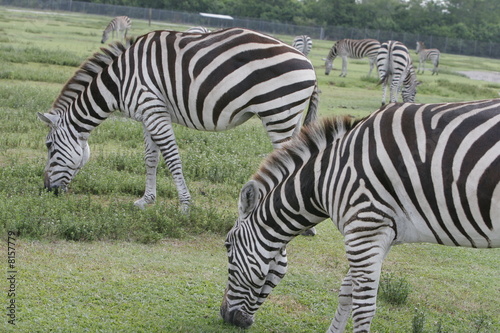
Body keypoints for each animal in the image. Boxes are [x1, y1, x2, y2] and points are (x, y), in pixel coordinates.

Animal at [37, 27, 318, 210]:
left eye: (49, 146)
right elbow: (150, 158)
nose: (47, 190)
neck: (118, 81)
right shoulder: (148, 114)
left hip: (278, 113)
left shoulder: (153, 109)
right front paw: (146, 200)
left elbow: (173, 159)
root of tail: (307, 61)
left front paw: (184, 205)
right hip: (289, 116)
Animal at [222, 99, 500, 332]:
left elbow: (363, 305)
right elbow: (347, 291)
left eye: (227, 246)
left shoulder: (363, 228)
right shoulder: (381, 233)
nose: (225, 316)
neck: (327, 177)